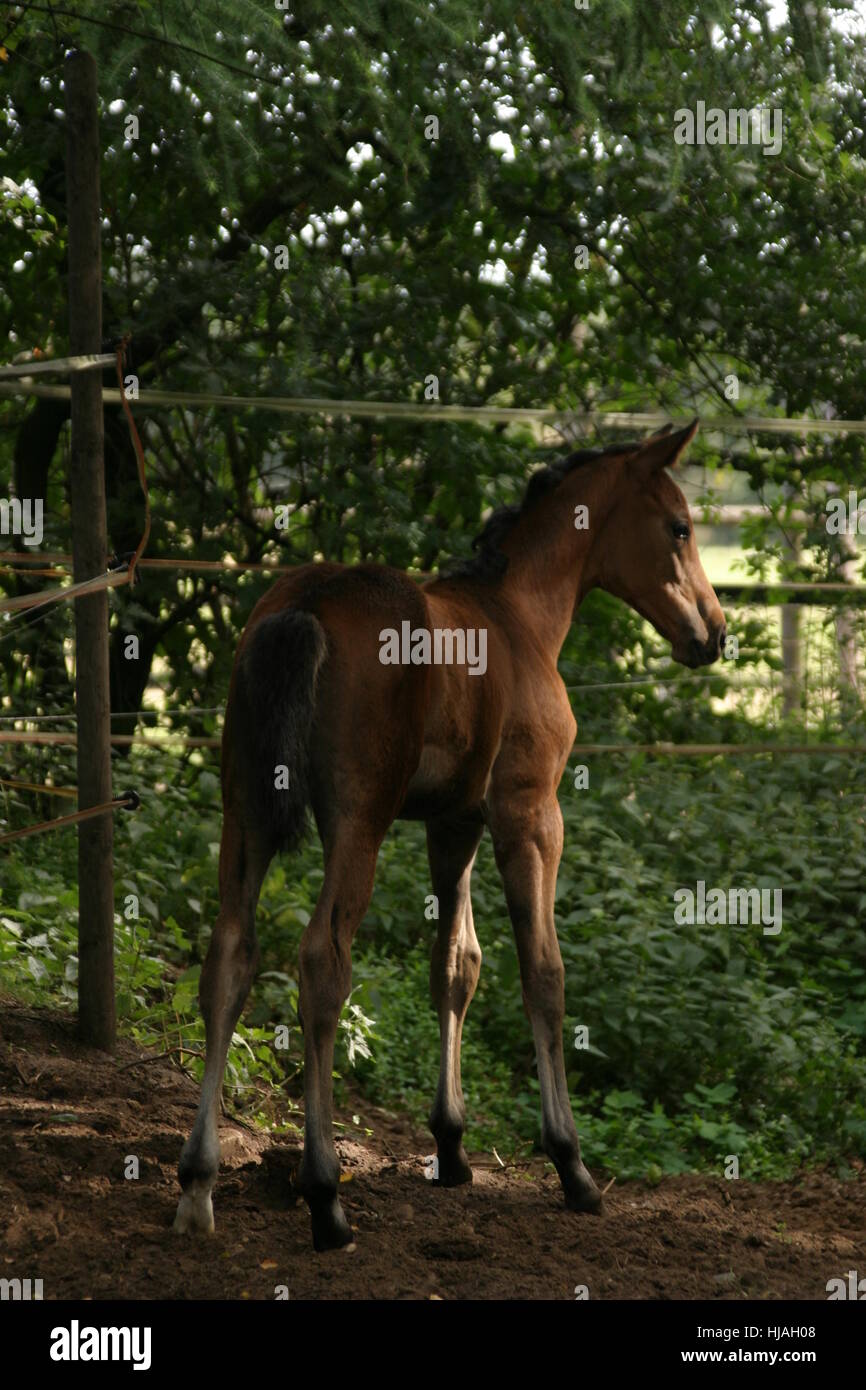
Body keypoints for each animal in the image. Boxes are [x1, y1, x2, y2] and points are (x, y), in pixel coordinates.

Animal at [174, 419, 726, 1251]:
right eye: (679, 528)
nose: (713, 632)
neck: (519, 616)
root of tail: (305, 602)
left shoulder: (452, 821)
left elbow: (455, 966)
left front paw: (452, 1145)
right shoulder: (530, 815)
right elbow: (543, 973)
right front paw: (571, 1164)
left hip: (245, 810)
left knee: (230, 958)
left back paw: (199, 1183)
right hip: (357, 823)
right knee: (322, 963)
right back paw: (325, 1197)